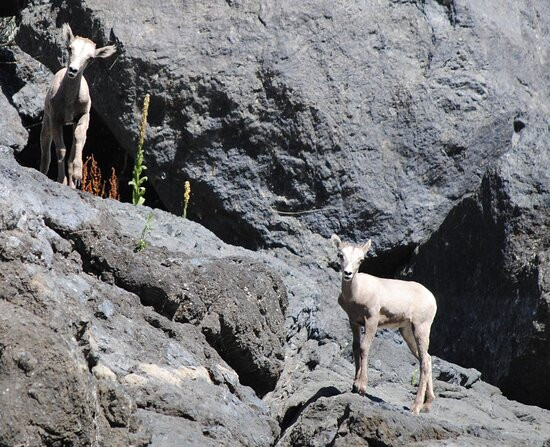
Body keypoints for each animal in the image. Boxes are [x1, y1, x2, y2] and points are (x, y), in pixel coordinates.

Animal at [40, 23, 116, 188]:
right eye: (70, 48)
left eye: (91, 58)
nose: (73, 70)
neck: (69, 101)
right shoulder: (55, 119)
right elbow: (61, 150)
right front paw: (60, 180)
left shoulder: (83, 116)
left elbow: (79, 140)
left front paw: (77, 177)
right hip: (47, 121)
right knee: (46, 148)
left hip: (72, 123)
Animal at [332, 236, 440, 414]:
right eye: (340, 255)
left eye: (361, 259)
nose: (347, 273)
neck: (355, 294)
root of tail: (432, 298)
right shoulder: (354, 322)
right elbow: (356, 347)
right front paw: (354, 385)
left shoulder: (372, 321)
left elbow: (364, 348)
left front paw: (361, 387)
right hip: (407, 332)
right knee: (427, 358)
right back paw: (428, 404)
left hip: (421, 328)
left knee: (424, 362)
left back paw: (415, 407)